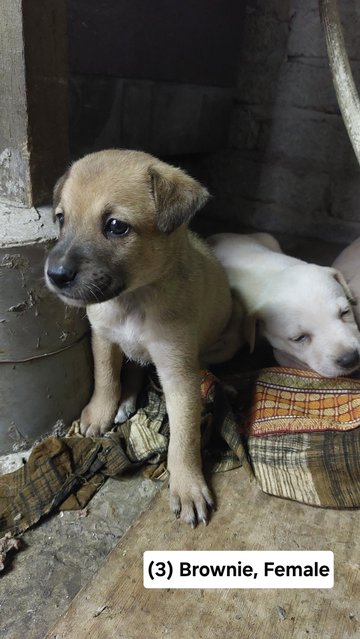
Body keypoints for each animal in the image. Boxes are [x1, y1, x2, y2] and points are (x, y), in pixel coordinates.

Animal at [45, 151, 242, 528]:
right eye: (61, 219)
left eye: (116, 226)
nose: (55, 275)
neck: (133, 301)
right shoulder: (103, 338)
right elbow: (106, 379)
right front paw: (99, 414)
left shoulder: (178, 371)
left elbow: (184, 434)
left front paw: (188, 486)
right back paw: (125, 401)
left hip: (221, 346)